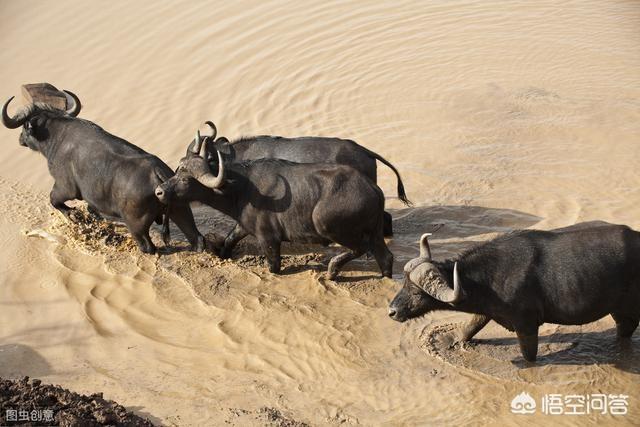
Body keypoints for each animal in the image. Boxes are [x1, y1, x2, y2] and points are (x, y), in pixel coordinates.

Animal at [1, 94, 204, 254]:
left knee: (148, 247)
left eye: (24, 127)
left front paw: (73, 214)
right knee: (197, 238)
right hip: (181, 210)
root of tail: (158, 174)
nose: (20, 139)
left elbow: (54, 200)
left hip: (137, 225)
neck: (57, 137)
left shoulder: (65, 187)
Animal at [156, 130, 396, 278]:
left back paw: (333, 269)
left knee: (361, 247)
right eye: (178, 169)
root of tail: (372, 188)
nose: (159, 191)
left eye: (186, 179)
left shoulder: (269, 239)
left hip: (327, 225)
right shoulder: (244, 224)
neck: (242, 186)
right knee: (385, 256)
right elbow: (230, 239)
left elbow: (273, 266)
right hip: (374, 230)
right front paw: (221, 252)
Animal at [390, 222, 640, 362]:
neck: (489, 276)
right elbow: (469, 328)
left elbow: (528, 356)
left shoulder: (526, 325)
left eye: (416, 291)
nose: (392, 311)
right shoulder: (486, 310)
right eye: (404, 283)